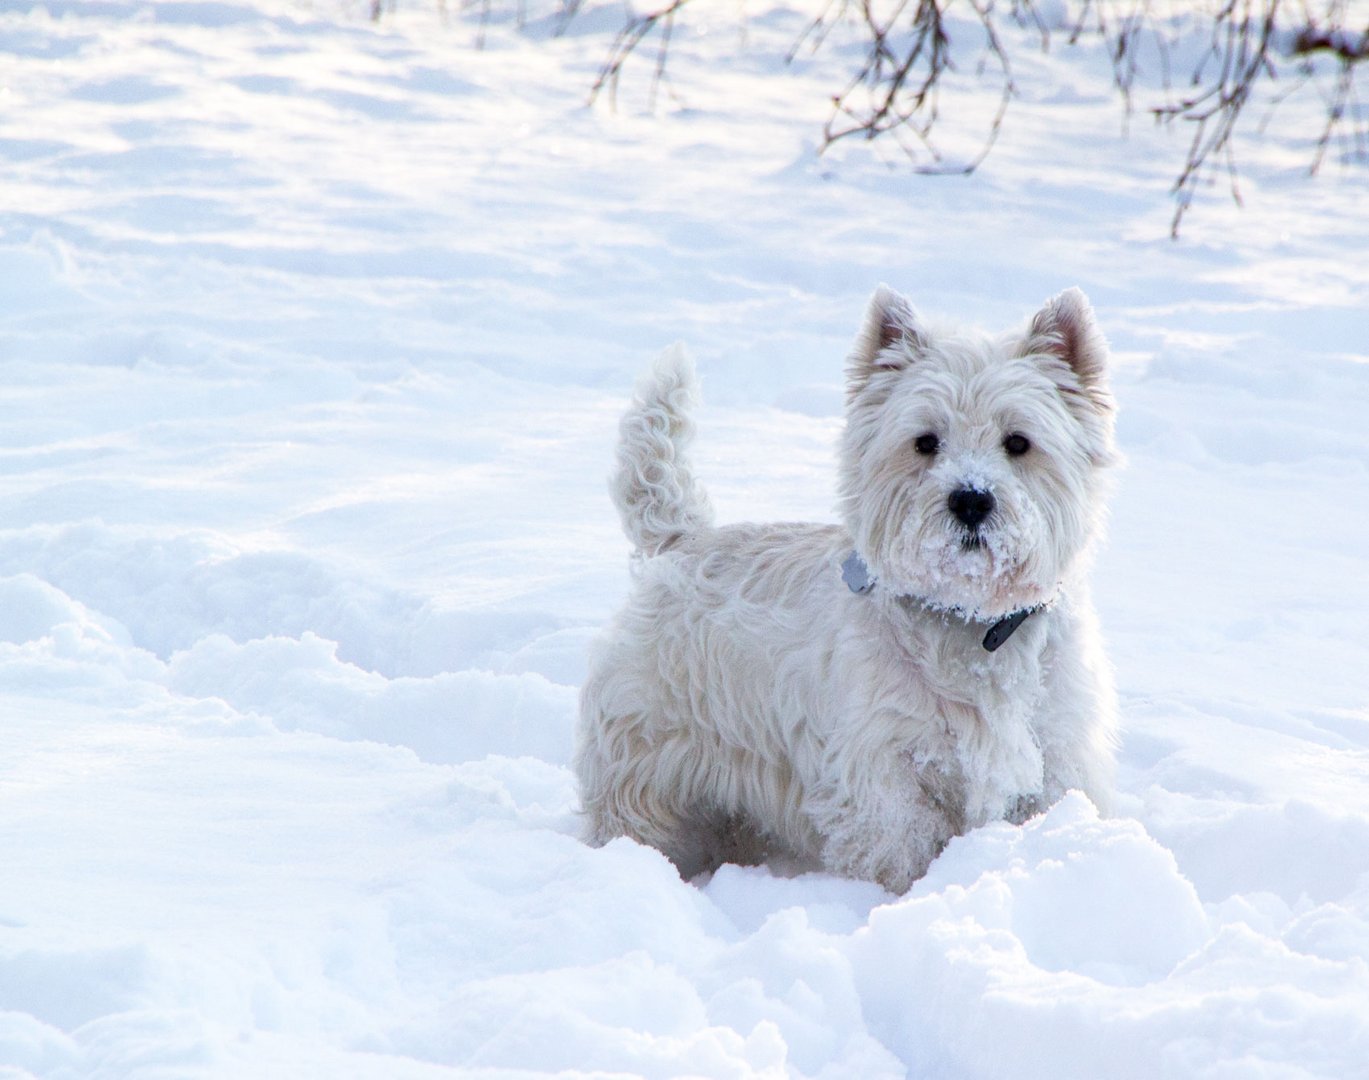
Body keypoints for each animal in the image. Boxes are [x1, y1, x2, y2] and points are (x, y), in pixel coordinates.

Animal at [572, 281, 1117, 886]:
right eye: (925, 441)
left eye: (1019, 442)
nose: (971, 499)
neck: (971, 622)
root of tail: (681, 539)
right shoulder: (883, 772)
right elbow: (900, 851)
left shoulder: (1055, 753)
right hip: (647, 754)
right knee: (634, 814)